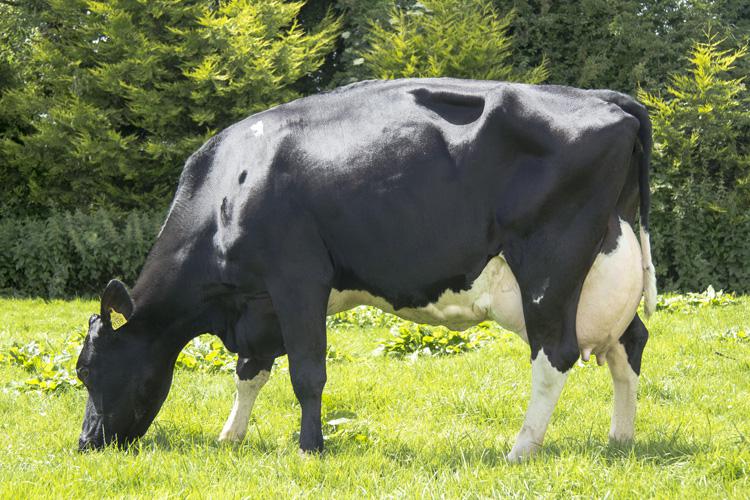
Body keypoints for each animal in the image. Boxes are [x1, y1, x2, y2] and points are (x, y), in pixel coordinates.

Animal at [76, 78, 656, 461]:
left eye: (86, 370)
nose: (85, 443)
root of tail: (604, 97)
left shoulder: (298, 280)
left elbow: (306, 372)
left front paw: (309, 448)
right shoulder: (260, 305)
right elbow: (250, 371)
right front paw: (230, 436)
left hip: (549, 267)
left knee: (554, 353)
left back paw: (520, 448)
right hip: (604, 267)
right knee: (628, 342)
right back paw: (620, 437)